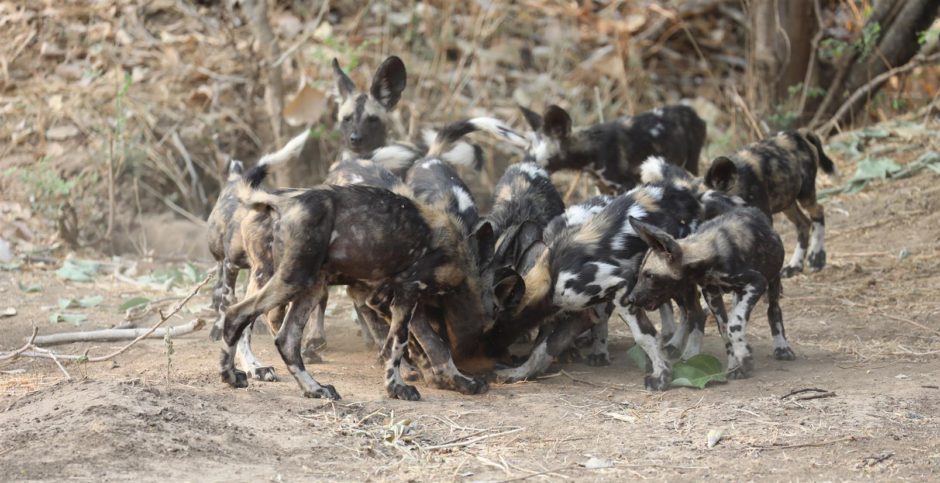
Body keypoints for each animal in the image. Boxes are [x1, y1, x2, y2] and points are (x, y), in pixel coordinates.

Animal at [488, 183, 700, 388]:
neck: (551, 275)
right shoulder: (571, 313)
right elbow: (542, 348)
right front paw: (521, 372)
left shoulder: (620, 286)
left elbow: (644, 336)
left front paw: (661, 375)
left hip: (671, 282)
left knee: (694, 312)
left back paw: (685, 350)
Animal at [704, 130, 836, 278]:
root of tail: (798, 133)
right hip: (786, 202)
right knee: (804, 223)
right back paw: (795, 265)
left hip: (805, 195)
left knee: (818, 211)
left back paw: (817, 257)